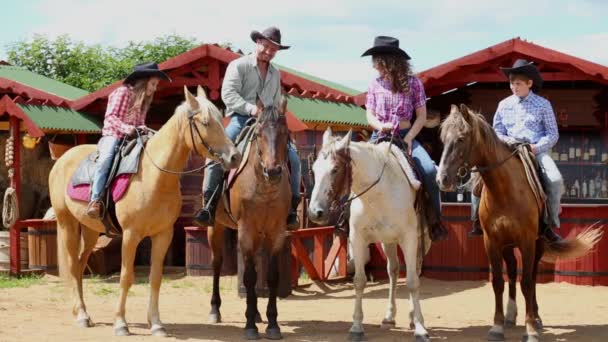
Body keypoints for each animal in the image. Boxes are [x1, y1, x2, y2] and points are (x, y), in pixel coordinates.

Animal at [205, 96, 290, 340]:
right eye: (259, 133)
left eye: (286, 133)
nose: (273, 171)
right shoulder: (246, 232)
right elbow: (250, 276)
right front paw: (250, 325)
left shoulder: (276, 232)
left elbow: (271, 276)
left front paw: (272, 323)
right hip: (215, 227)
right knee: (216, 264)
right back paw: (215, 310)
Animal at [308, 127, 432, 342]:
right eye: (314, 169)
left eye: (335, 169)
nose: (315, 212)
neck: (379, 194)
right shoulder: (358, 240)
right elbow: (359, 281)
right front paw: (356, 327)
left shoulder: (408, 238)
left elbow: (412, 281)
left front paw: (420, 328)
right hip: (387, 241)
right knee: (393, 271)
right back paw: (389, 316)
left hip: (417, 239)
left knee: (413, 271)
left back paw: (411, 317)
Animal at [434, 104, 600, 342]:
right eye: (443, 138)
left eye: (461, 138)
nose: (442, 179)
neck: (504, 191)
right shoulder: (492, 242)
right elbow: (498, 282)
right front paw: (497, 326)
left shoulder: (527, 241)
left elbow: (528, 282)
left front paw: (530, 329)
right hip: (507, 245)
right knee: (512, 271)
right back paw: (511, 315)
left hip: (537, 243)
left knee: (532, 275)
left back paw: (536, 318)